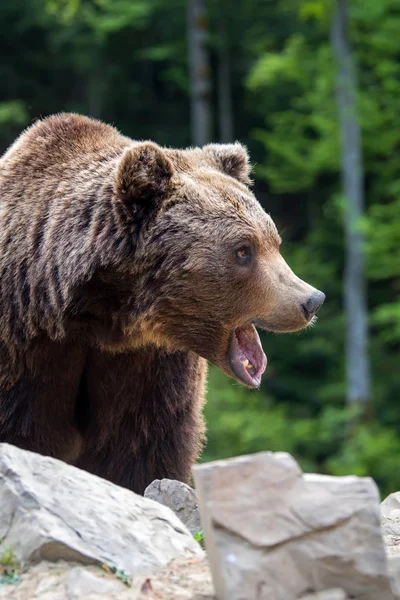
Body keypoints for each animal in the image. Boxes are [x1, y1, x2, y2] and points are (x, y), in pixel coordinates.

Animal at [0, 115, 324, 494]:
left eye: (274, 241)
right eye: (243, 250)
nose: (311, 300)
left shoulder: (149, 365)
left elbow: (142, 444)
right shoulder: (25, 348)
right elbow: (26, 432)